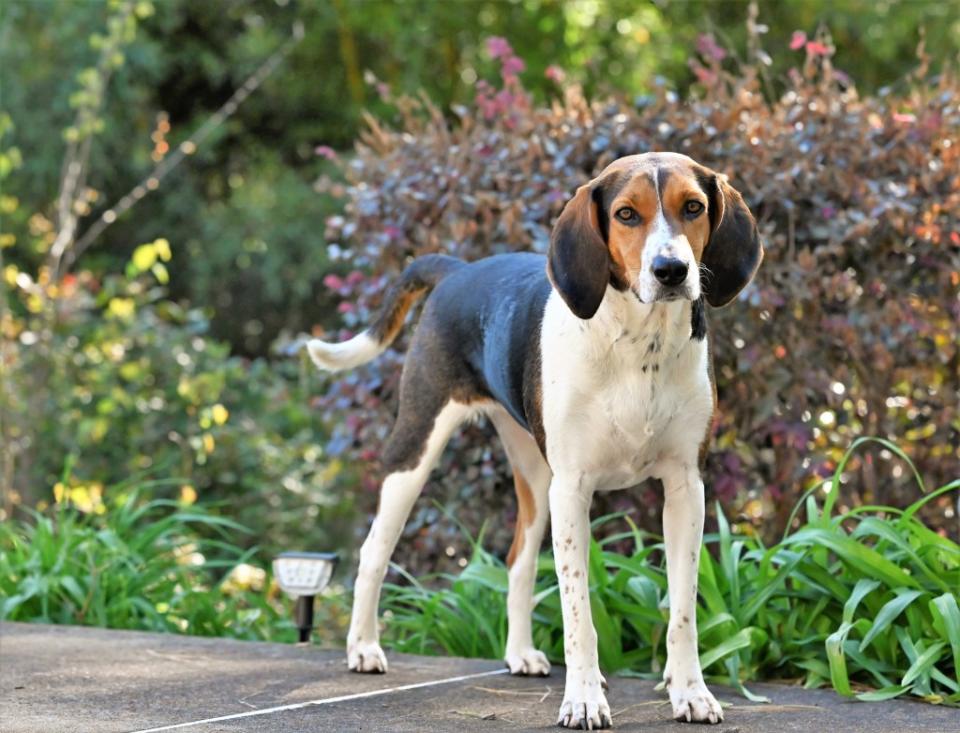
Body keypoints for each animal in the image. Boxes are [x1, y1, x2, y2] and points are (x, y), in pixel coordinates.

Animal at [312, 153, 760, 728]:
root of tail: (458, 270)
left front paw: (689, 691)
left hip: (535, 476)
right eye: (626, 214)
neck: (641, 346)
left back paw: (520, 654)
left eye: (694, 207)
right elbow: (579, 614)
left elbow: (682, 609)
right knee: (374, 551)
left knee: (517, 561)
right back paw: (364, 647)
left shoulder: (685, 488)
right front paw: (585, 698)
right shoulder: (574, 489)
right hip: (417, 451)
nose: (672, 271)